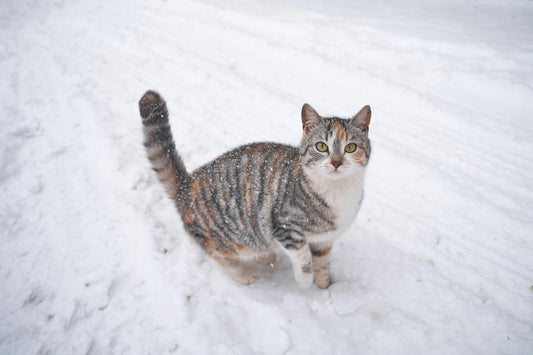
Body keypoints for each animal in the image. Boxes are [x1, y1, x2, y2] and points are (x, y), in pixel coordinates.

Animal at [137, 92, 370, 290]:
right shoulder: (284, 226)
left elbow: (322, 262)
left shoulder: (325, 240)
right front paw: (305, 280)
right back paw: (243, 273)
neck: (338, 191)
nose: (336, 162)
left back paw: (265, 256)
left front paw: (325, 285)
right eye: (321, 146)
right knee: (215, 253)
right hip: (226, 238)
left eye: (350, 148)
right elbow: (303, 256)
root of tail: (187, 185)